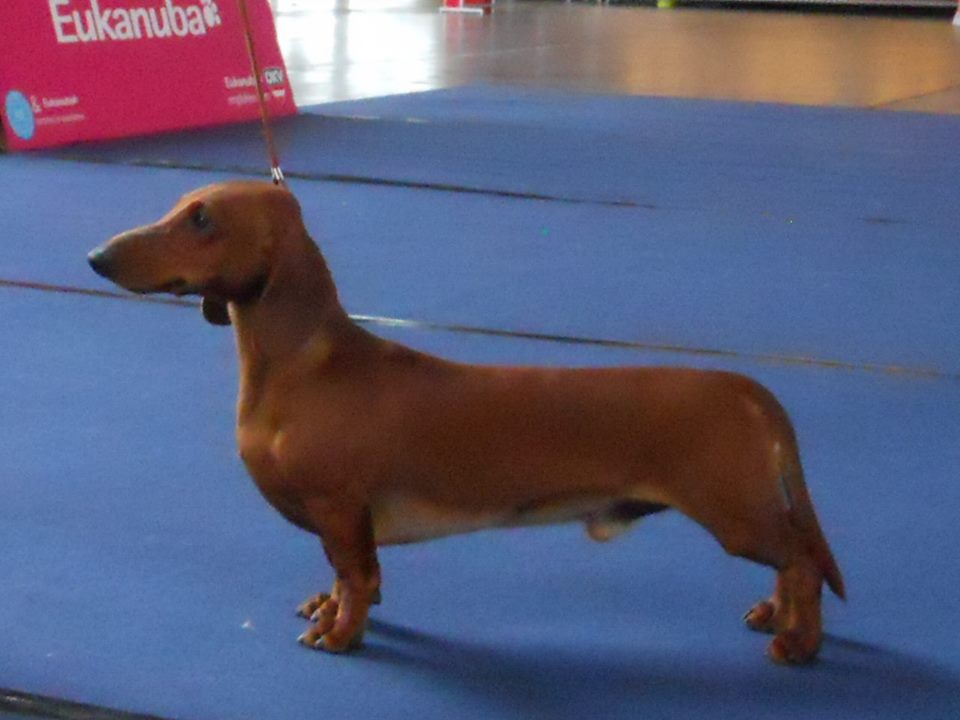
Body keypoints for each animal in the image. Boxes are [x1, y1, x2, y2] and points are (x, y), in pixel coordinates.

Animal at [88, 180, 844, 664]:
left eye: (202, 219)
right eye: (179, 207)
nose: (95, 257)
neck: (303, 365)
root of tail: (744, 385)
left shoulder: (340, 507)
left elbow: (355, 578)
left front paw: (341, 634)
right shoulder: (342, 520)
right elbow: (347, 577)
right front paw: (328, 610)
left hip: (735, 514)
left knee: (803, 561)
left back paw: (798, 643)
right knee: (793, 561)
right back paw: (773, 614)